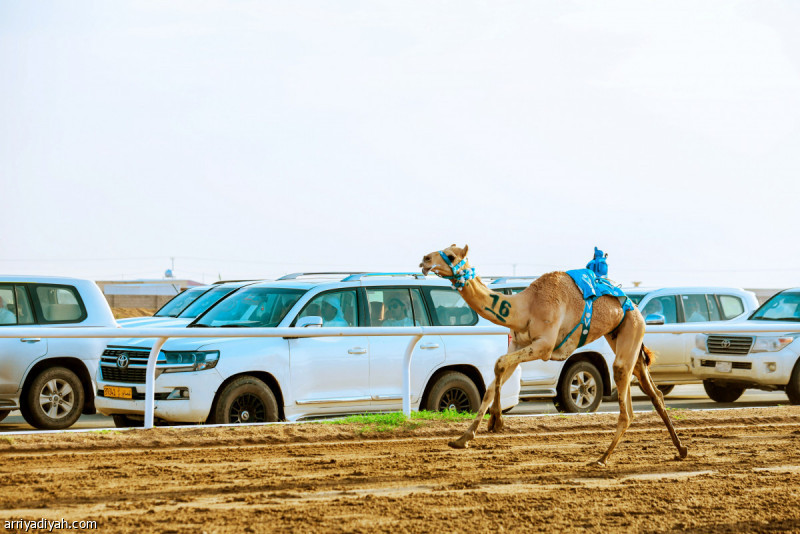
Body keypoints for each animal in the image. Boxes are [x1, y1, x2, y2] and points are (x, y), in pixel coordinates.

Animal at [418, 245, 688, 466]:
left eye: (451, 255)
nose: (424, 259)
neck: (524, 308)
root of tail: (634, 306)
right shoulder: (517, 345)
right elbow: (494, 380)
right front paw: (463, 438)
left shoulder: (544, 347)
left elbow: (498, 364)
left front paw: (496, 422)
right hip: (622, 337)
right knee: (655, 393)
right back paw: (681, 450)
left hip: (631, 331)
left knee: (627, 406)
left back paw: (602, 458)